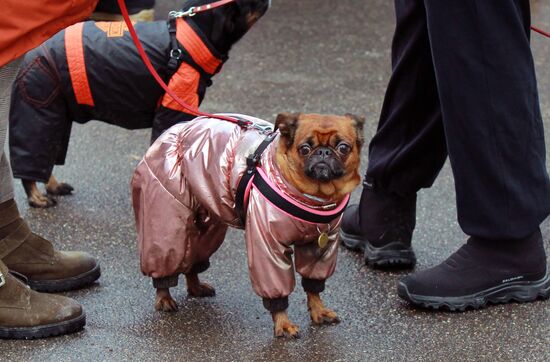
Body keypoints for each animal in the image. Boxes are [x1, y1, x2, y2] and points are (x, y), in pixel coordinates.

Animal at [8, 0, 272, 208]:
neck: (191, 36)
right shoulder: (173, 112)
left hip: (56, 114)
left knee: (47, 153)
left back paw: (53, 186)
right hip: (38, 106)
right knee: (31, 159)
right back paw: (36, 198)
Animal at [132, 112, 366, 336]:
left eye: (343, 147)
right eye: (305, 148)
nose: (324, 153)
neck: (317, 198)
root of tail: (172, 131)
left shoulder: (321, 246)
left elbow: (313, 286)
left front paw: (318, 310)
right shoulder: (267, 244)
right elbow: (276, 287)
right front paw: (283, 324)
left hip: (207, 222)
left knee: (193, 256)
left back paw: (196, 287)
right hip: (166, 221)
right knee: (166, 257)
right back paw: (164, 297)